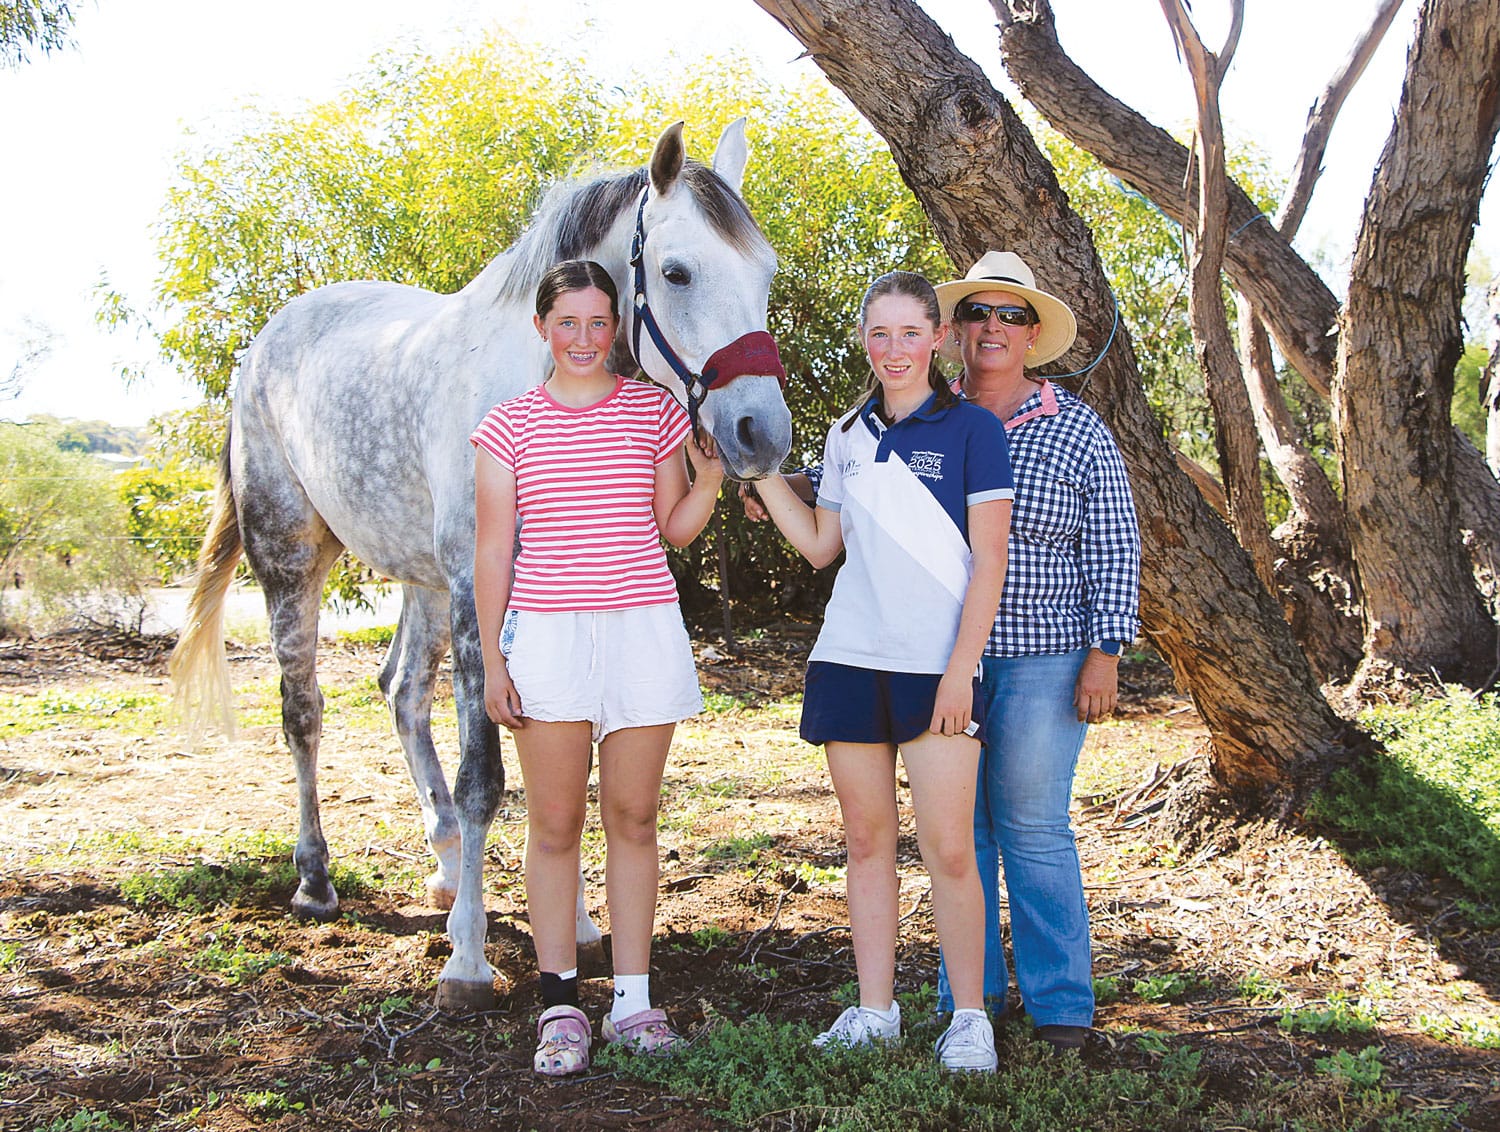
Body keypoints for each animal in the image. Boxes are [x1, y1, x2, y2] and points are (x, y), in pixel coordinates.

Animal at [170, 121, 792, 1012]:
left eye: (764, 273)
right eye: (677, 271)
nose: (760, 435)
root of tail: (261, 349)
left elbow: (564, 769)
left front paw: (578, 922)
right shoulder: (478, 596)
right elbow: (487, 776)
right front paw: (467, 959)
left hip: (420, 582)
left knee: (400, 692)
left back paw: (443, 862)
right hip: (293, 561)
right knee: (303, 712)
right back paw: (316, 880)